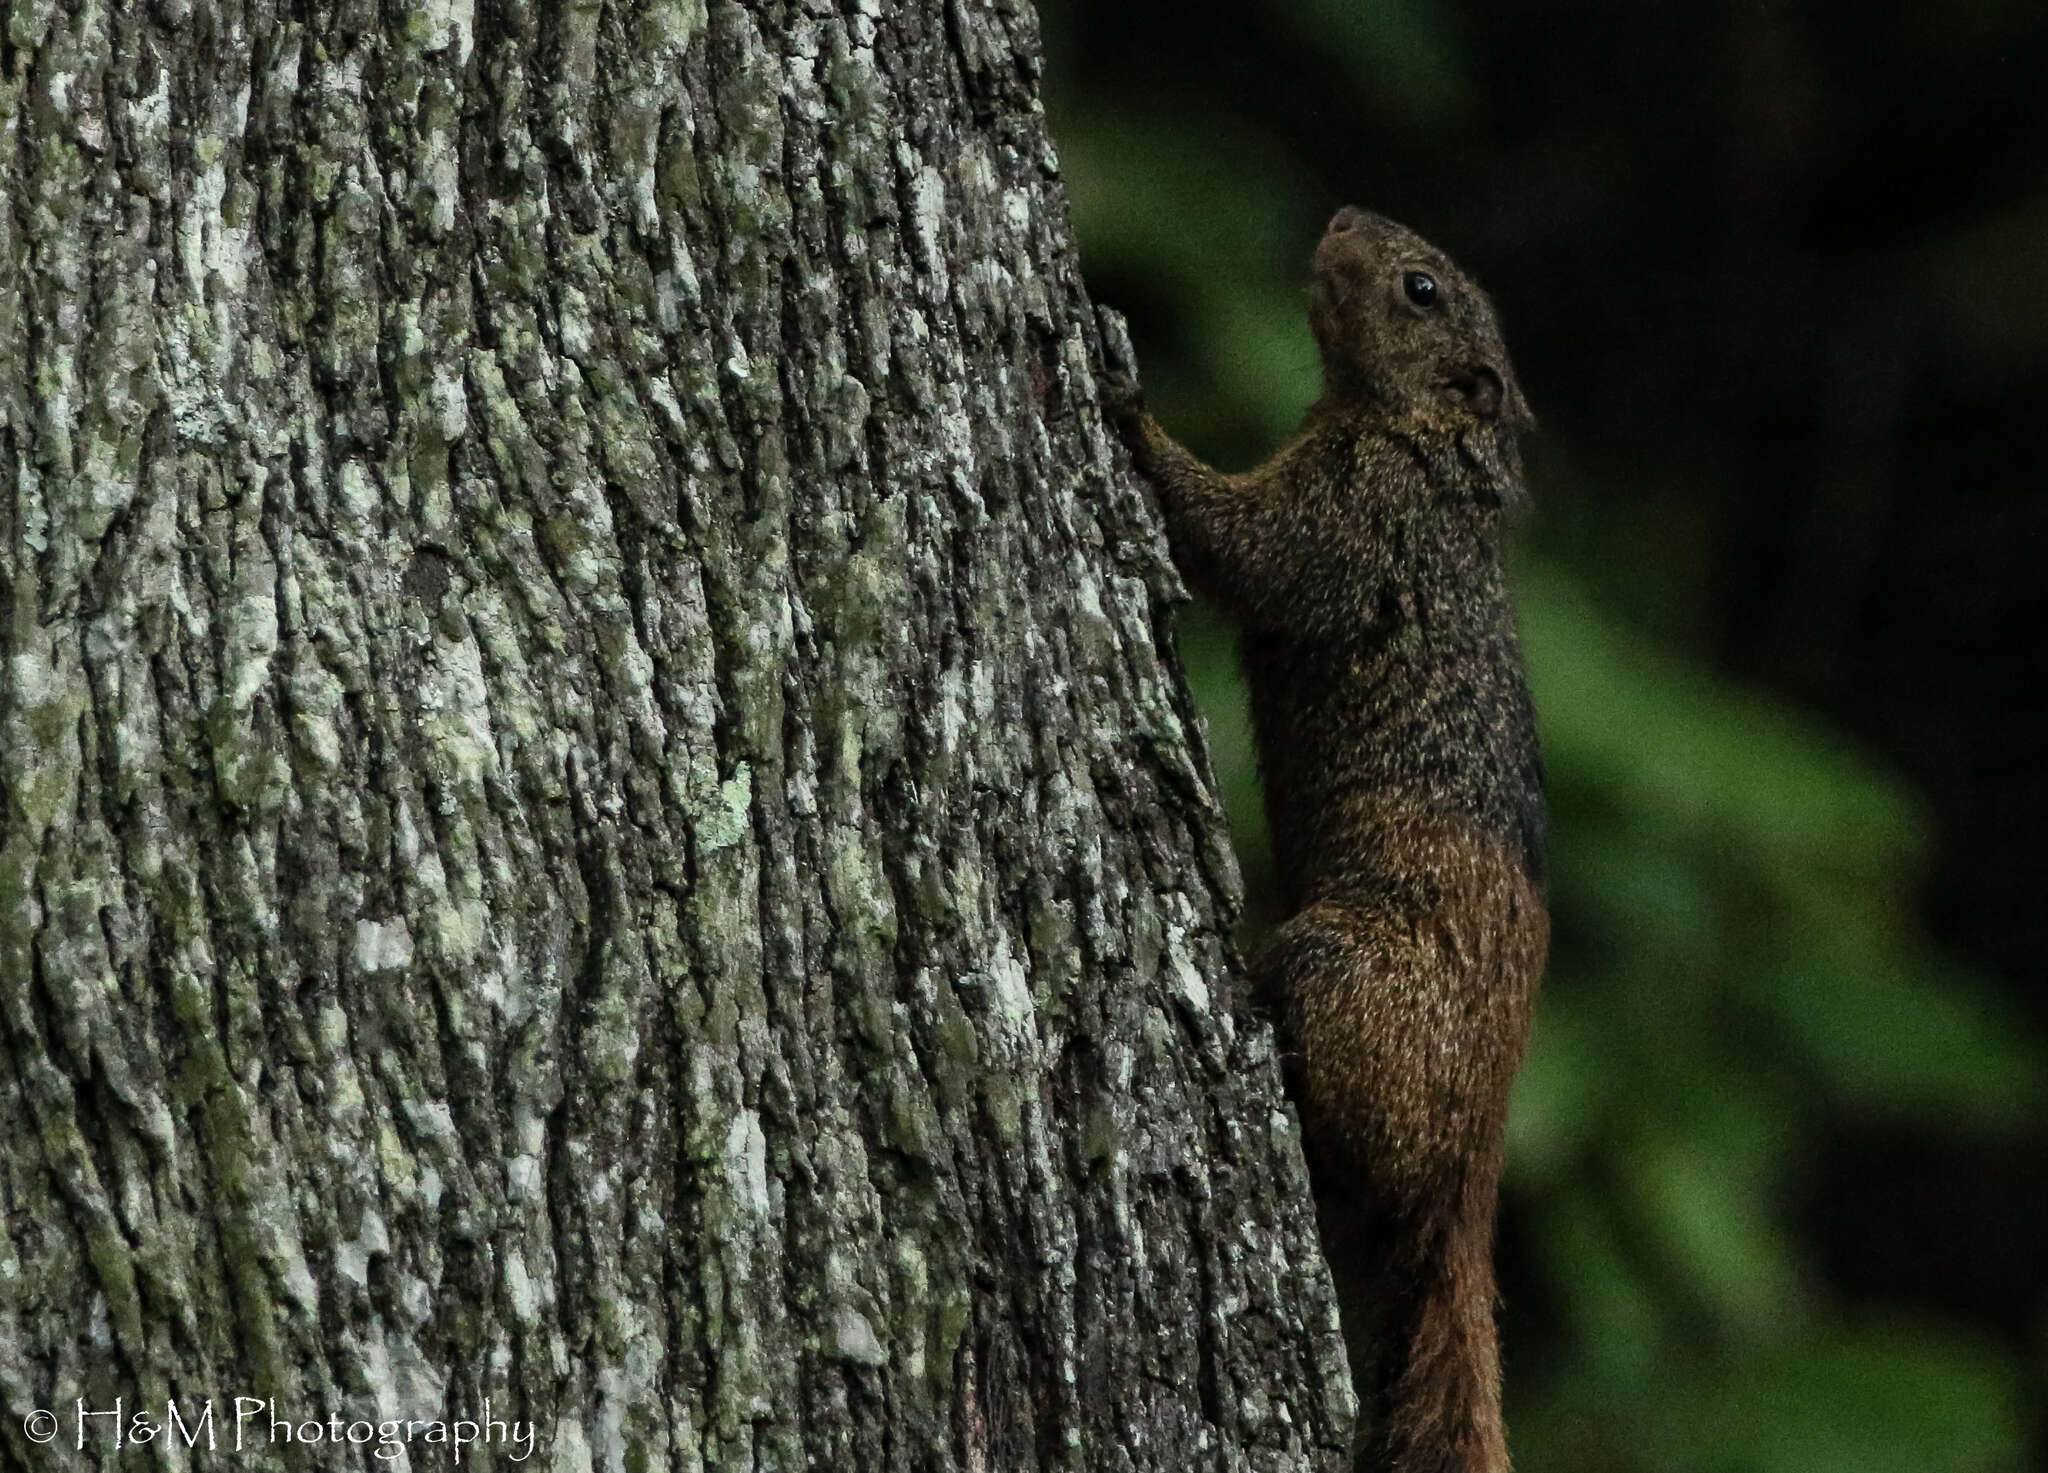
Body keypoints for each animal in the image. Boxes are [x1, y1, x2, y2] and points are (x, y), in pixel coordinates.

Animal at [1114, 206, 1540, 1473]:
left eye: (1417, 288)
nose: (1343, 216)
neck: (1425, 447)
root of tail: (1472, 1163)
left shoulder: (1352, 515)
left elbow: (1247, 547)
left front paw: (1126, 409)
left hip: (1346, 971)